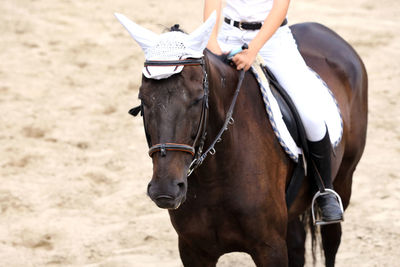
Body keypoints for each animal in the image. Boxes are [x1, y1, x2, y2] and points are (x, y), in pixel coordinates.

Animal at [136, 22, 368, 266]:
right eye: (143, 100)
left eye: (197, 99)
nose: (165, 190)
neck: (215, 176)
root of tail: (320, 29)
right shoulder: (193, 250)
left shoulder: (270, 247)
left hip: (344, 178)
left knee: (331, 239)